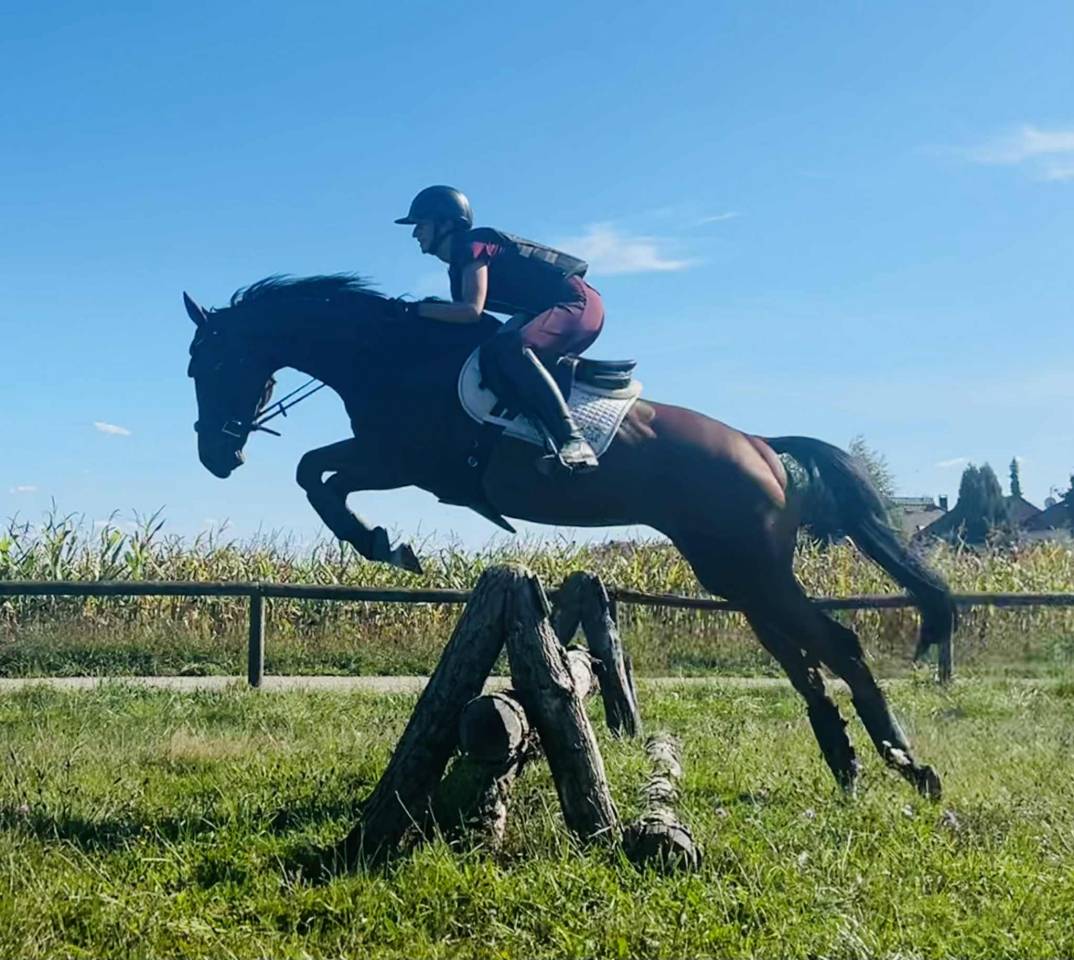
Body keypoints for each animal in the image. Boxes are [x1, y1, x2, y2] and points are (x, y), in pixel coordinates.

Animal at [184, 274, 955, 798]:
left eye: (210, 366)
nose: (215, 458)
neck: (390, 356)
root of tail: (763, 448)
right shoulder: (386, 457)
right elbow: (315, 473)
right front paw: (384, 542)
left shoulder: (403, 460)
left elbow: (315, 475)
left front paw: (382, 543)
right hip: (735, 573)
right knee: (803, 659)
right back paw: (848, 766)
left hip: (753, 570)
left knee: (838, 646)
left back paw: (908, 766)